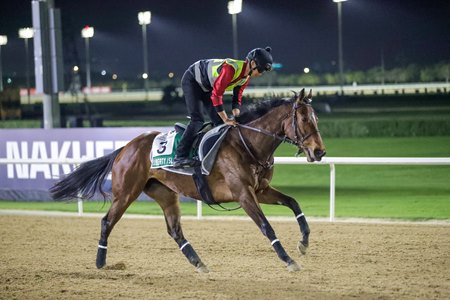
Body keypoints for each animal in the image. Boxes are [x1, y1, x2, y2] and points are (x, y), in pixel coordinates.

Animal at [51, 88, 326, 274]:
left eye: (317, 119)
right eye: (304, 119)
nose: (320, 151)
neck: (248, 144)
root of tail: (124, 148)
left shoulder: (261, 190)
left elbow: (293, 203)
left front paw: (303, 243)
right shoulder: (243, 194)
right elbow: (266, 226)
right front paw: (289, 260)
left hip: (165, 193)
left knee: (175, 230)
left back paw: (199, 262)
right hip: (126, 192)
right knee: (107, 221)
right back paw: (100, 262)